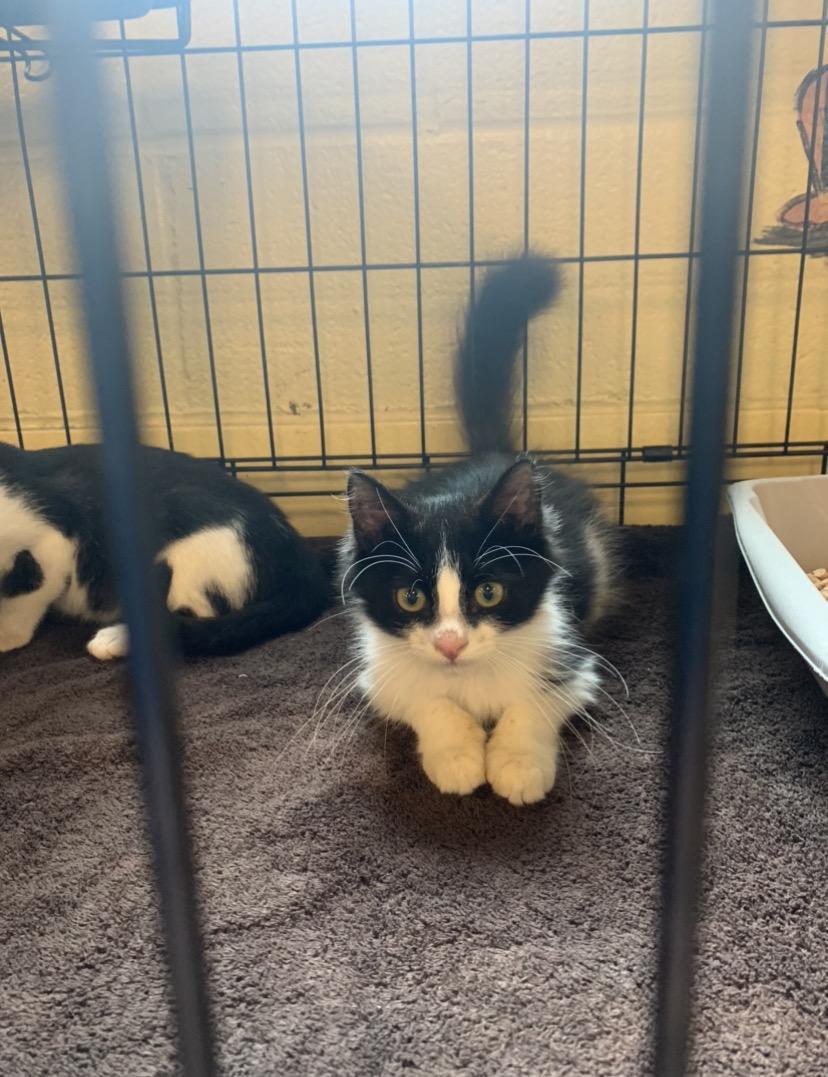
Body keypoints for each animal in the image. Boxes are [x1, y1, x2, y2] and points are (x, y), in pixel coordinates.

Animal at [338, 255, 619, 806]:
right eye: (410, 598)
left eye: (489, 592)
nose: (451, 645)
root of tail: (492, 455)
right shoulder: (379, 674)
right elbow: (424, 697)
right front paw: (457, 756)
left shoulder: (573, 658)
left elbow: (536, 701)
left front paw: (518, 764)